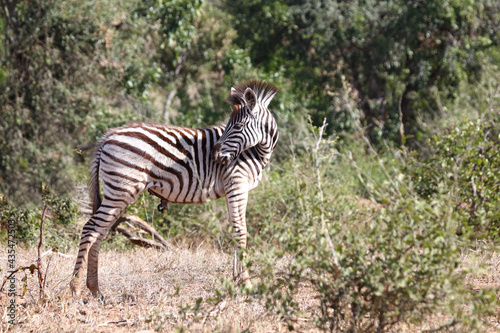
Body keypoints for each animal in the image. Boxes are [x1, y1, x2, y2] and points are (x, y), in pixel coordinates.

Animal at [70, 79, 280, 296]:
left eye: (238, 125)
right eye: (229, 125)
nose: (215, 156)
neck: (254, 151)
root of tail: (107, 136)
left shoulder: (234, 188)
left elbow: (235, 229)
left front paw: (236, 280)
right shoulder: (237, 184)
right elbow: (241, 231)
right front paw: (246, 283)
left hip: (117, 192)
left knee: (100, 232)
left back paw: (95, 290)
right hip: (121, 189)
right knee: (90, 228)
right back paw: (75, 289)